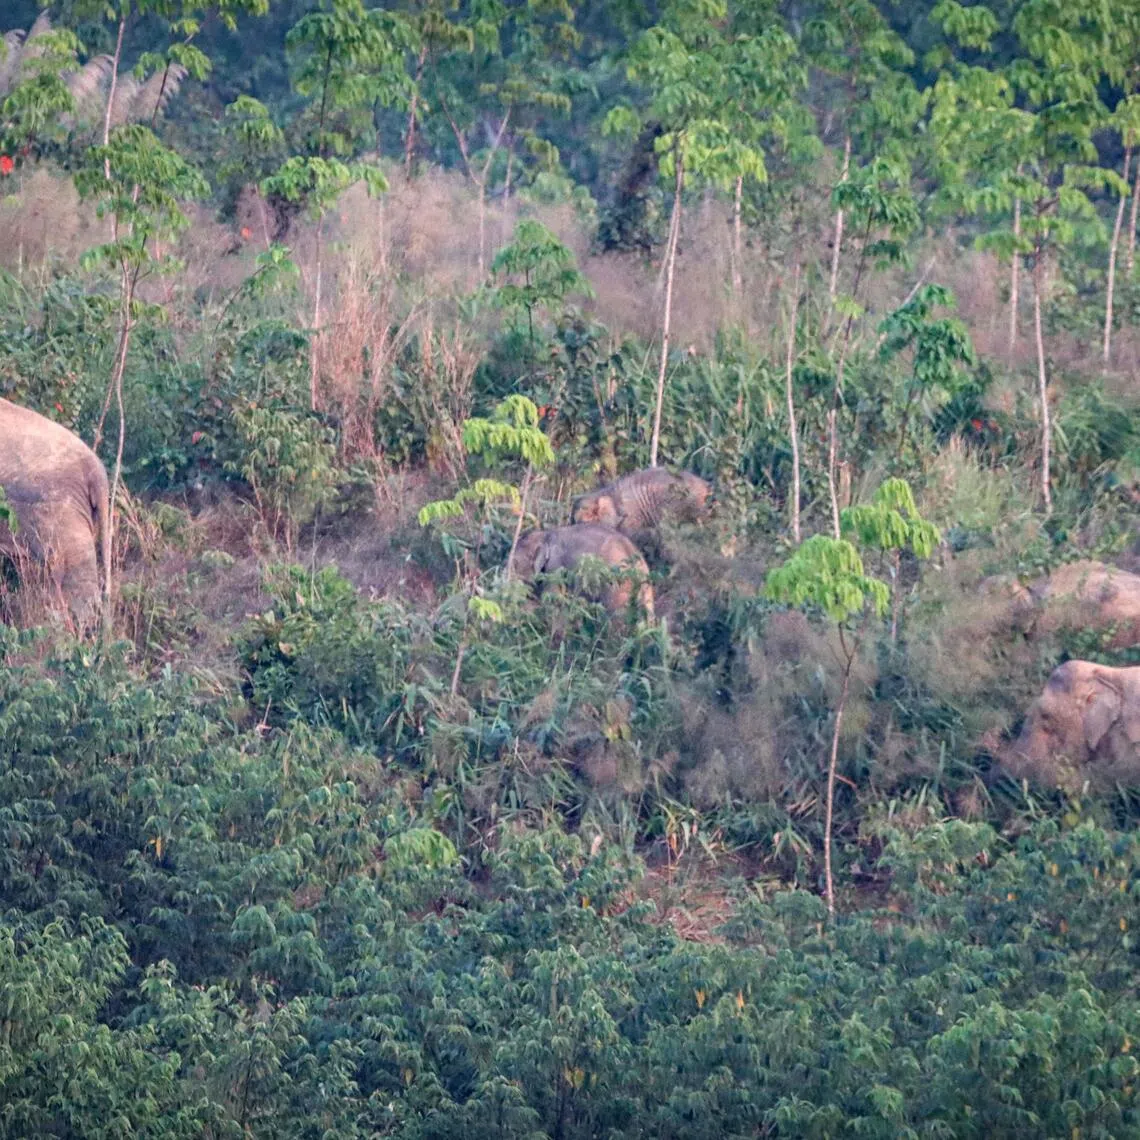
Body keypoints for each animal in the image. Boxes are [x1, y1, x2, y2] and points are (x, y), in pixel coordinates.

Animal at [511, 524, 654, 617]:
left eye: (515, 564)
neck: (545, 534)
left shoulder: (556, 564)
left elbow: (553, 597)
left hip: (617, 586)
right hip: (646, 589)